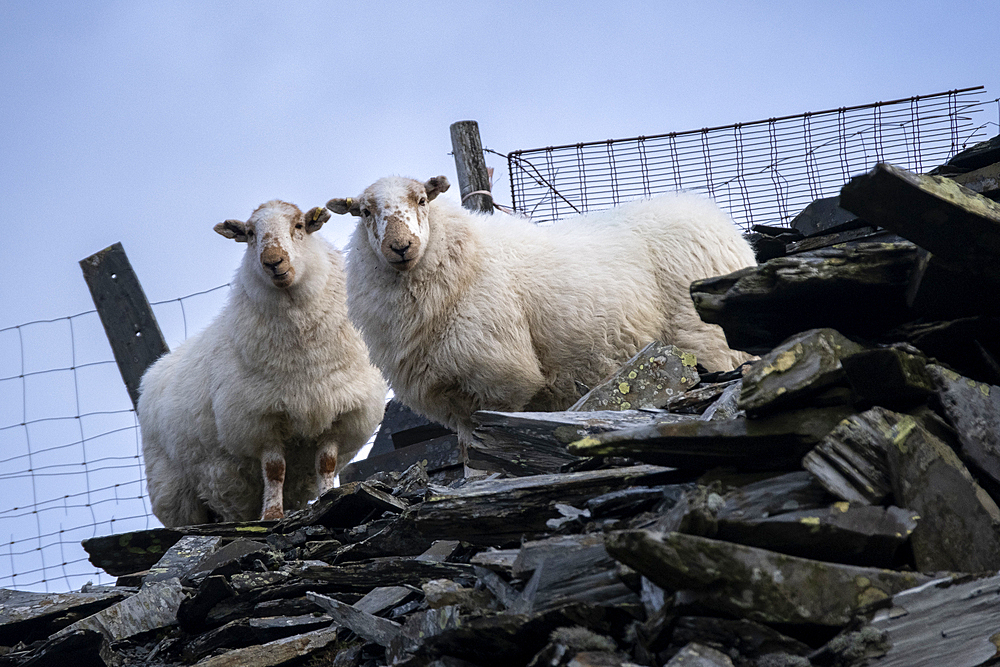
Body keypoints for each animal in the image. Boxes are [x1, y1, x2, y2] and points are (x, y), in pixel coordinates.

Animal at [139, 200, 388, 528]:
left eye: (299, 225)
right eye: (249, 233)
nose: (273, 262)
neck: (305, 357)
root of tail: (151, 373)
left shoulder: (339, 413)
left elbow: (326, 463)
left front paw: (327, 498)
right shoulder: (260, 420)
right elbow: (275, 470)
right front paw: (271, 514)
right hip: (173, 489)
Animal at [328, 176, 756, 444]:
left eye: (421, 200)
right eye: (365, 212)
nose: (400, 246)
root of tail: (714, 217)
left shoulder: (501, 377)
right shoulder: (452, 396)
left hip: (707, 338)